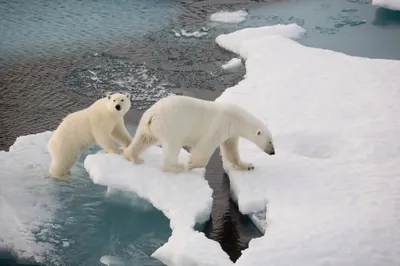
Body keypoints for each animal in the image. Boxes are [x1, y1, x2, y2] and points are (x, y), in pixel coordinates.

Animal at [123, 95, 276, 172]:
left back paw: (133, 156)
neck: (237, 119)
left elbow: (231, 150)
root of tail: (152, 115)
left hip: (147, 126)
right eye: (269, 141)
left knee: (143, 139)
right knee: (172, 145)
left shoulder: (230, 132)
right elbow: (205, 146)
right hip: (171, 125)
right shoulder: (221, 124)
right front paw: (191, 164)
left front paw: (247, 165)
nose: (273, 152)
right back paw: (176, 167)